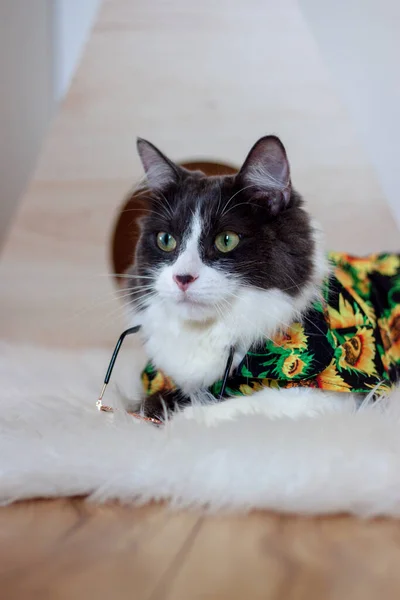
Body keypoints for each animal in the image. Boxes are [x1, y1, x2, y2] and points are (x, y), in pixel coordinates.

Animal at [125, 135, 400, 422]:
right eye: (166, 240)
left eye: (226, 240)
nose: (182, 278)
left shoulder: (338, 390)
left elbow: (248, 403)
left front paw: (181, 417)